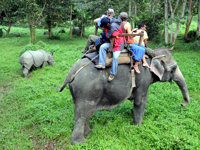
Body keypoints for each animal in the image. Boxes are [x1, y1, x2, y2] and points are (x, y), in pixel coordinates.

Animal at [59, 47, 189, 145]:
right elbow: (140, 101)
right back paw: (80, 142)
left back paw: (88, 133)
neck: (152, 56)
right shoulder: (143, 78)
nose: (182, 104)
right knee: (82, 114)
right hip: (87, 91)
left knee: (83, 113)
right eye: (174, 68)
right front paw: (137, 126)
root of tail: (72, 72)